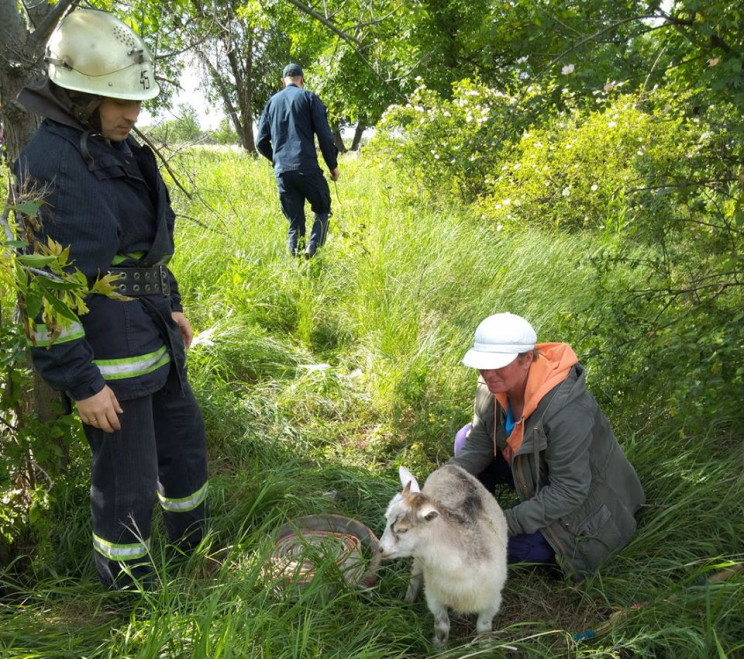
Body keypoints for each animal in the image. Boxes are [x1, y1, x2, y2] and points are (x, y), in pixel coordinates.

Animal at [380, 466, 508, 648]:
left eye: (402, 529)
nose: (380, 549)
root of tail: (450, 467)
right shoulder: (434, 597)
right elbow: (442, 628)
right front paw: (439, 649)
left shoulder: (492, 602)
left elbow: (484, 630)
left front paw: (486, 649)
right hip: (419, 562)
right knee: (415, 575)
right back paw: (407, 601)